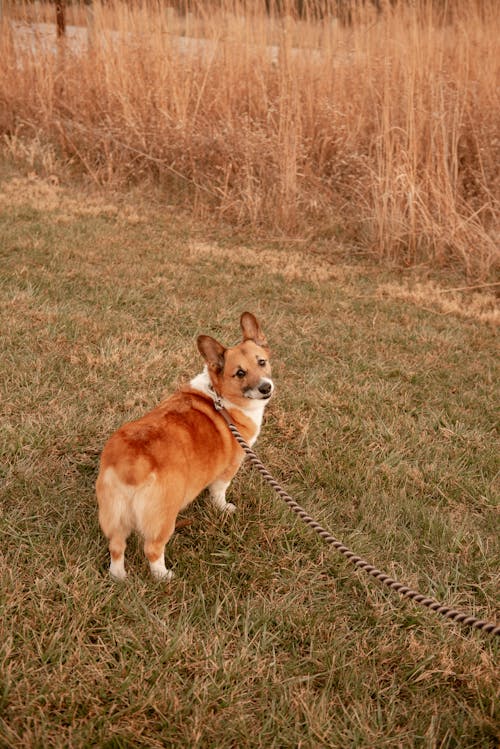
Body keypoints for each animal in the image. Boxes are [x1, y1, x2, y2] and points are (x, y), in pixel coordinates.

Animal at [94, 310, 274, 580]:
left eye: (261, 362)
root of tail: (132, 463)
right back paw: (165, 576)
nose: (266, 388)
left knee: (116, 547)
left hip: (114, 516)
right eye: (240, 373)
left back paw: (119, 577)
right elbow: (219, 490)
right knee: (153, 549)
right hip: (163, 518)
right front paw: (224, 508)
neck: (220, 395)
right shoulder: (231, 465)